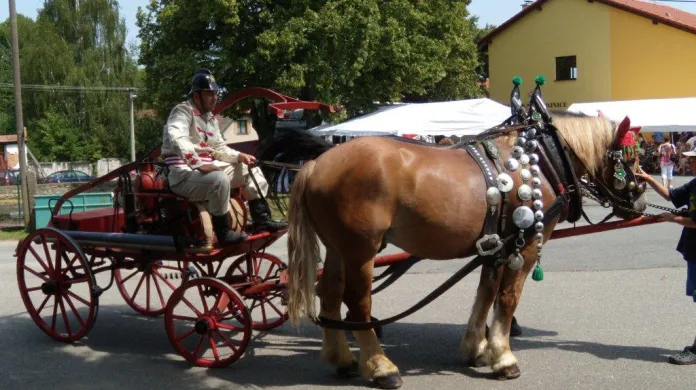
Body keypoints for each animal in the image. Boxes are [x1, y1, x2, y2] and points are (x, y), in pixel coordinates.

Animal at [266, 109, 648, 386]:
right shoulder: (522, 248)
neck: (540, 158)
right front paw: (504, 358)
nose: (641, 203)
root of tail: (317, 163)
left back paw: (342, 359)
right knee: (357, 302)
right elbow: (507, 299)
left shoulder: (497, 245)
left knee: (329, 293)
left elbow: (485, 295)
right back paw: (381, 367)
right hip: (361, 248)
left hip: (338, 246)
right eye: (630, 159)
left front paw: (476, 349)